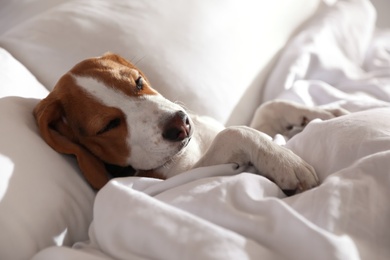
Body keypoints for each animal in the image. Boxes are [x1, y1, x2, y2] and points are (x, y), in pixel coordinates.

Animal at [32, 52, 344, 194]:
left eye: (138, 82)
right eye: (107, 126)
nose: (180, 124)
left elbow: (267, 108)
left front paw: (319, 113)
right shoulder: (188, 175)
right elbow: (236, 132)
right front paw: (285, 160)